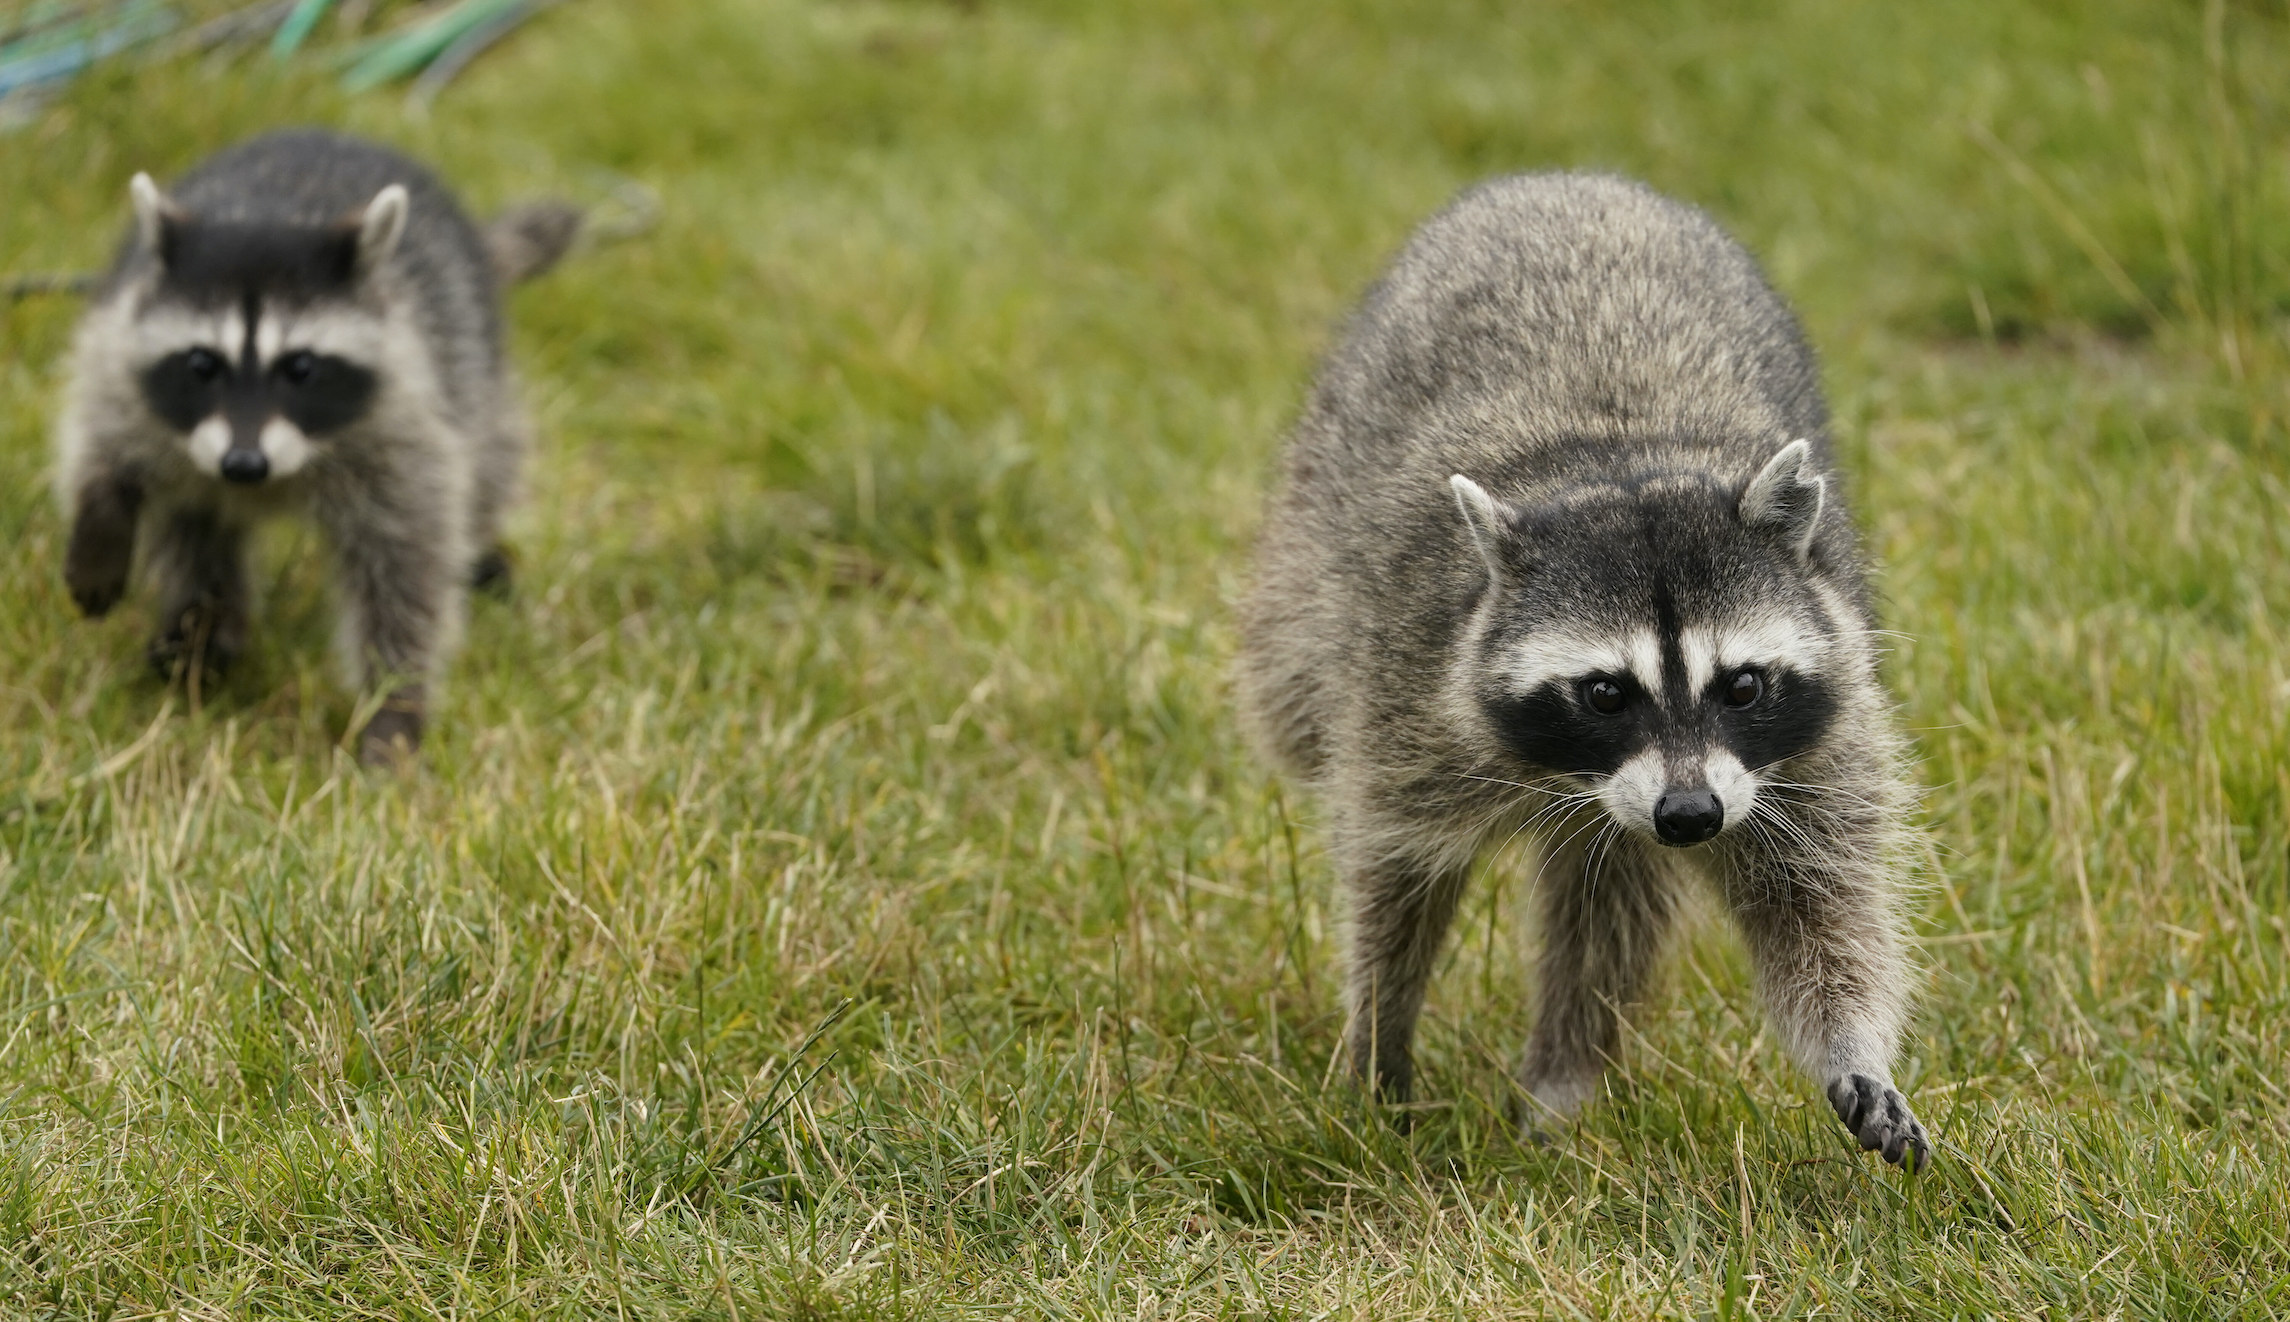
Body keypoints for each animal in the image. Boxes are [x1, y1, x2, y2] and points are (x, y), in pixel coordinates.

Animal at [53, 129, 579, 764]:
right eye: (202, 363)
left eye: (300, 367)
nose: (243, 464)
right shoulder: (121, 342)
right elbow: (102, 429)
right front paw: (100, 517)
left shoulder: (404, 409)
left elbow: (406, 567)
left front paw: (394, 704)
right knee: (193, 531)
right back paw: (203, 628)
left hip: (468, 347)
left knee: (491, 454)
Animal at [1237, 174, 1930, 1167]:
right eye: (1606, 693)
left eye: (1743, 685)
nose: (1691, 815)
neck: (1623, 458)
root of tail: (1568, 178)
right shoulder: (1407, 683)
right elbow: (1395, 874)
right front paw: (1377, 1040)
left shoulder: (1820, 729)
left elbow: (1819, 899)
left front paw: (1854, 1045)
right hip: (1309, 536)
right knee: (1292, 698)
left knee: (1611, 902)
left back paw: (1563, 1081)